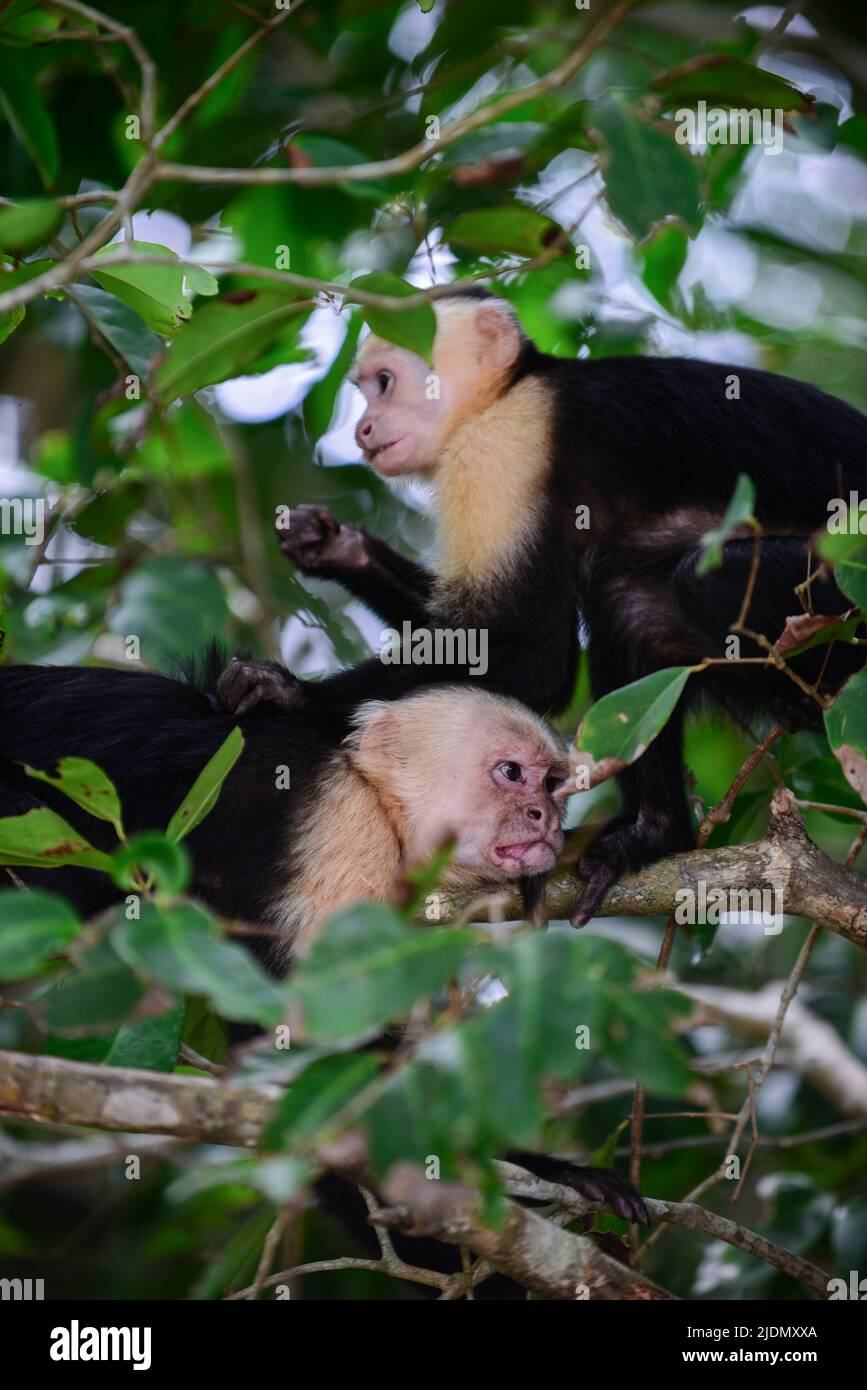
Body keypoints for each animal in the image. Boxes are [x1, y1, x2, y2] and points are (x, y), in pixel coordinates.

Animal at [0, 661, 647, 1228]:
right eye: (511, 773)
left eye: (553, 784)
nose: (546, 819)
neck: (378, 797)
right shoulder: (339, 827)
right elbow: (309, 1048)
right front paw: (544, 1174)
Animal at [218, 284, 867, 922]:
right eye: (365, 390)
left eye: (384, 382)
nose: (364, 429)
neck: (509, 391)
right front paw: (335, 548)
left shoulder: (503, 447)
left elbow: (538, 659)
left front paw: (292, 694)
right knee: (630, 605)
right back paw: (660, 830)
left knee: (699, 583)